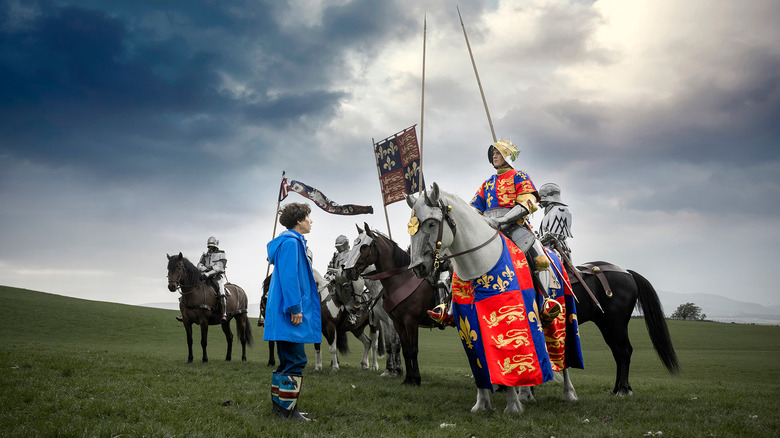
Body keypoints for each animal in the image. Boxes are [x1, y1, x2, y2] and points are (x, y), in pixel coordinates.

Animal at [342, 224, 438, 384]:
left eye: (363, 246)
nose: (347, 271)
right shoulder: (387, 321)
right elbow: (391, 346)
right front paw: (390, 370)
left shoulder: (403, 321)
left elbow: (398, 345)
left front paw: (398, 371)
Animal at [406, 182, 576, 414]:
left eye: (432, 223)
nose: (418, 267)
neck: (480, 263)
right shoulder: (468, 322)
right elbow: (479, 360)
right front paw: (482, 403)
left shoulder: (505, 319)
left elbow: (506, 356)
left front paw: (512, 406)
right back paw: (525, 393)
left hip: (559, 315)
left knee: (562, 353)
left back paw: (568, 393)